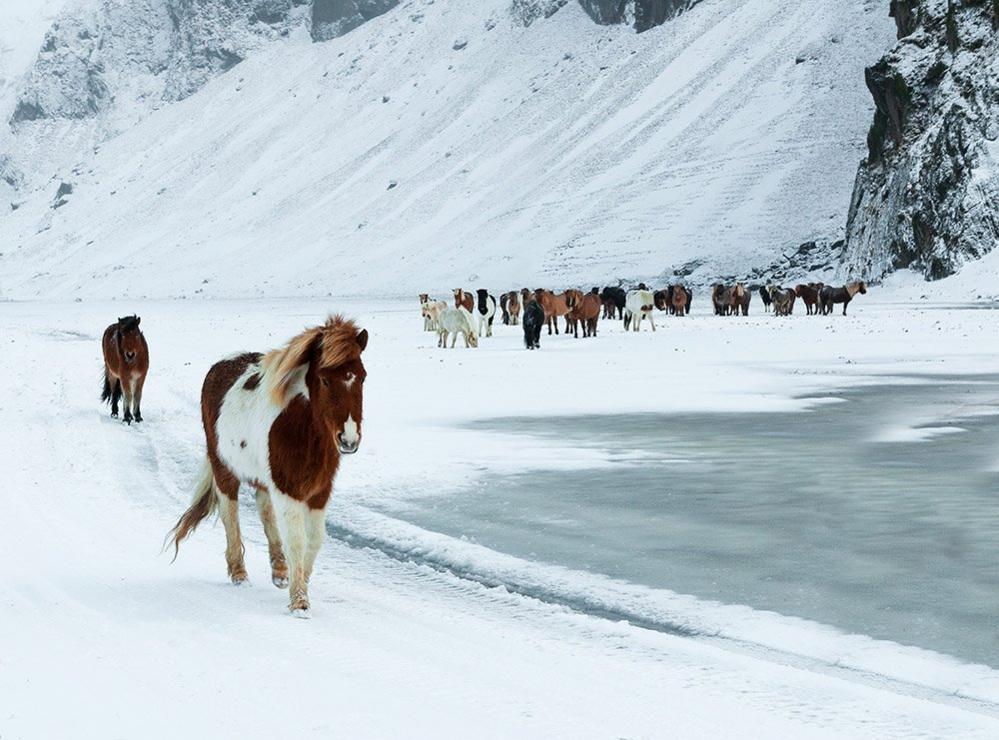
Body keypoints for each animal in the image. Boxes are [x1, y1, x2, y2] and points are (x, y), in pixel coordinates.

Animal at [170, 316, 370, 616]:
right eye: (324, 379)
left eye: (362, 376)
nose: (348, 440)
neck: (303, 428)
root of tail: (222, 364)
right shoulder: (288, 489)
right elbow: (296, 539)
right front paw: (299, 602)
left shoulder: (319, 492)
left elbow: (314, 539)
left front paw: (298, 581)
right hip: (224, 470)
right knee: (230, 514)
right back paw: (239, 574)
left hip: (264, 478)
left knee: (264, 510)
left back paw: (280, 571)